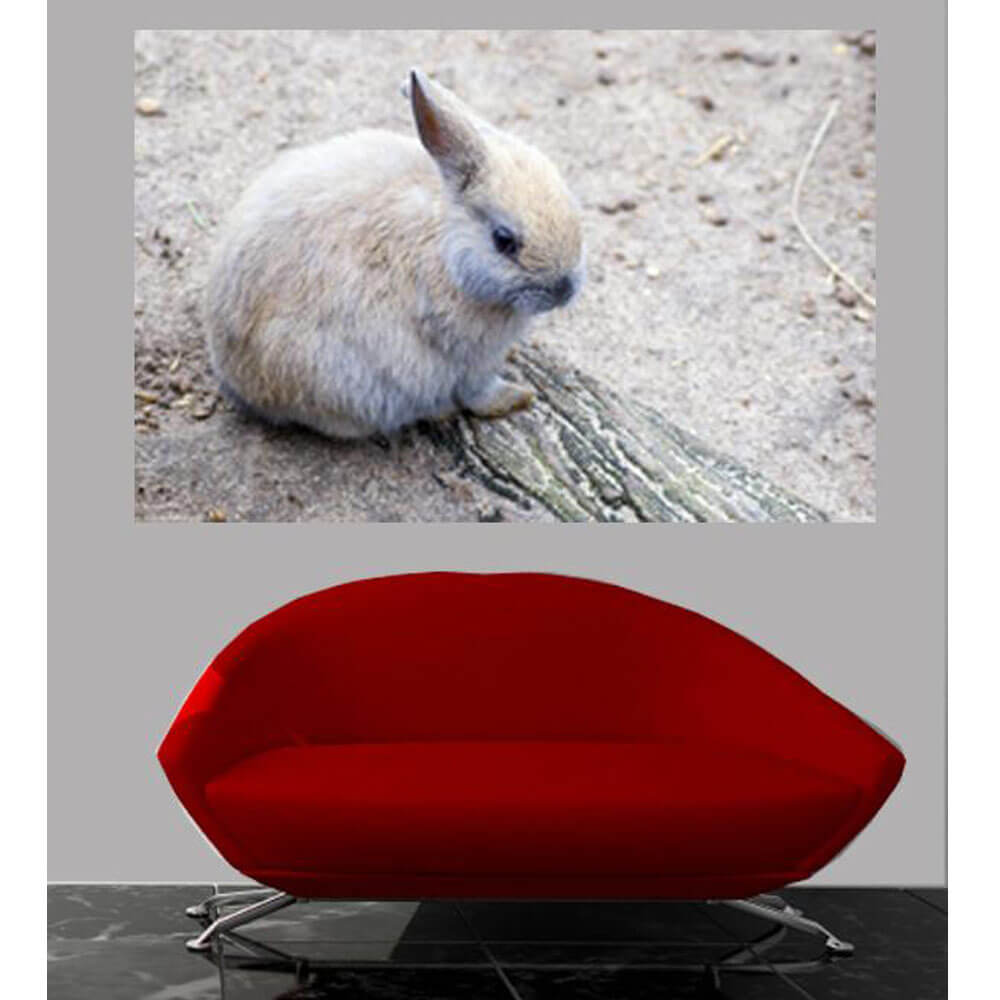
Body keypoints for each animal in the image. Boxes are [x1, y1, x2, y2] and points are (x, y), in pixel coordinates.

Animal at [205, 68, 585, 439]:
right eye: (503, 240)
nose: (564, 290)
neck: (446, 244)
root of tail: (239, 383)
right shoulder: (468, 357)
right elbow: (478, 393)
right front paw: (518, 397)